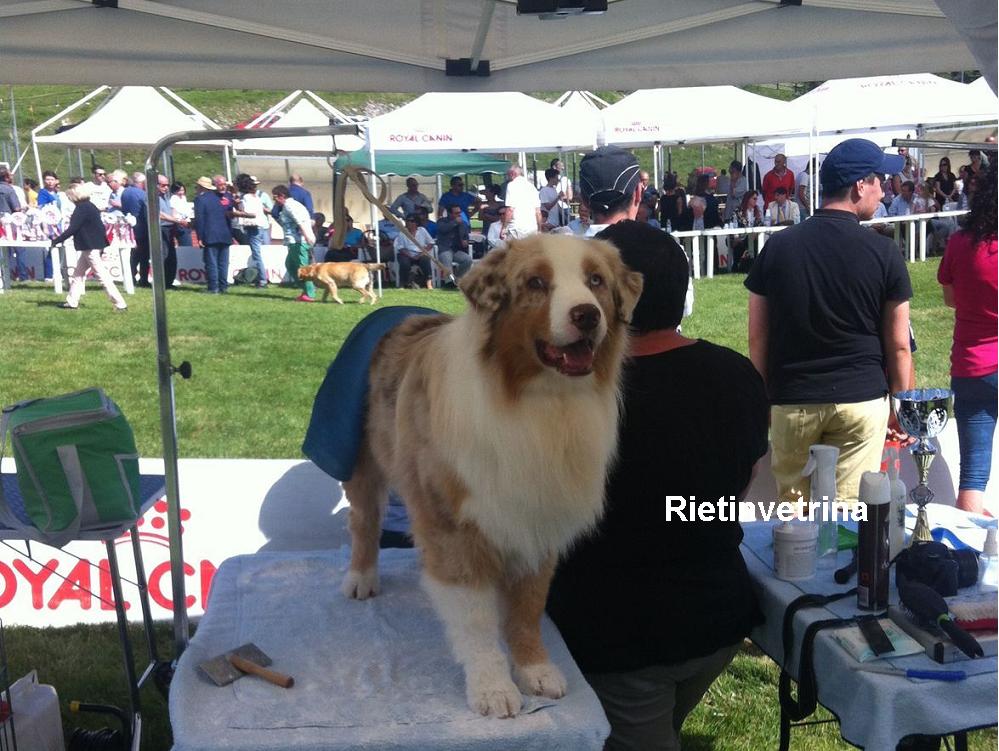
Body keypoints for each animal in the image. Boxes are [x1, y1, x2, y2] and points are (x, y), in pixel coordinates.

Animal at [340, 235, 644, 716]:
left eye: (595, 281)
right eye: (536, 283)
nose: (587, 315)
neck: (538, 401)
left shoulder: (538, 520)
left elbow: (527, 608)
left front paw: (535, 670)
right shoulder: (454, 526)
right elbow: (476, 620)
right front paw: (493, 689)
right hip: (363, 462)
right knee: (364, 522)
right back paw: (361, 578)